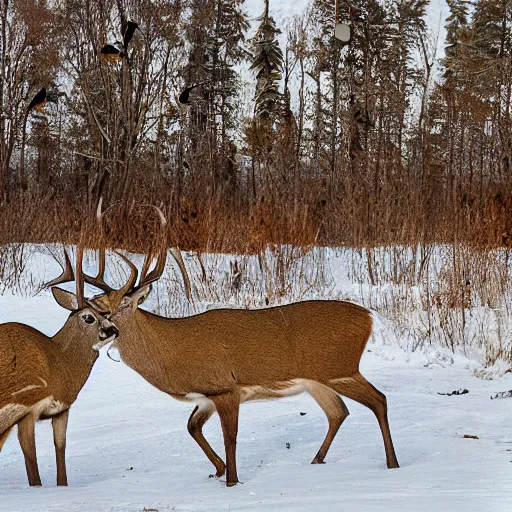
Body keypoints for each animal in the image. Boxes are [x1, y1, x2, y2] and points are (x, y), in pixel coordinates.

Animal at [0, 250, 119, 486]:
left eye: (107, 315)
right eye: (88, 317)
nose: (114, 330)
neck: (60, 364)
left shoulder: (62, 409)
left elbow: (61, 453)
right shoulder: (27, 407)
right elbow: (32, 464)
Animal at [75, 207, 400, 484]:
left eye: (111, 309)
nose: (105, 329)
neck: (172, 352)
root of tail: (369, 318)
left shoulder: (225, 388)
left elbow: (229, 437)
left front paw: (232, 481)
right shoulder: (206, 396)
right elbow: (192, 427)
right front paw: (218, 471)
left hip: (340, 367)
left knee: (379, 400)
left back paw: (392, 463)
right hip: (317, 379)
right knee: (339, 412)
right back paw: (316, 460)